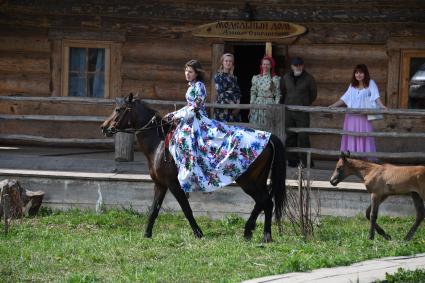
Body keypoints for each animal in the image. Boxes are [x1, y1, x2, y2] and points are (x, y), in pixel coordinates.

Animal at [100, 94, 284, 243]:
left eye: (118, 110)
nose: (104, 127)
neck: (158, 144)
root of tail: (269, 137)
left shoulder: (174, 185)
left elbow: (186, 209)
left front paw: (199, 234)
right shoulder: (160, 184)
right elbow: (154, 210)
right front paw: (146, 234)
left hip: (248, 181)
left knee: (265, 202)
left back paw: (262, 235)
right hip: (257, 181)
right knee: (265, 203)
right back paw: (254, 232)